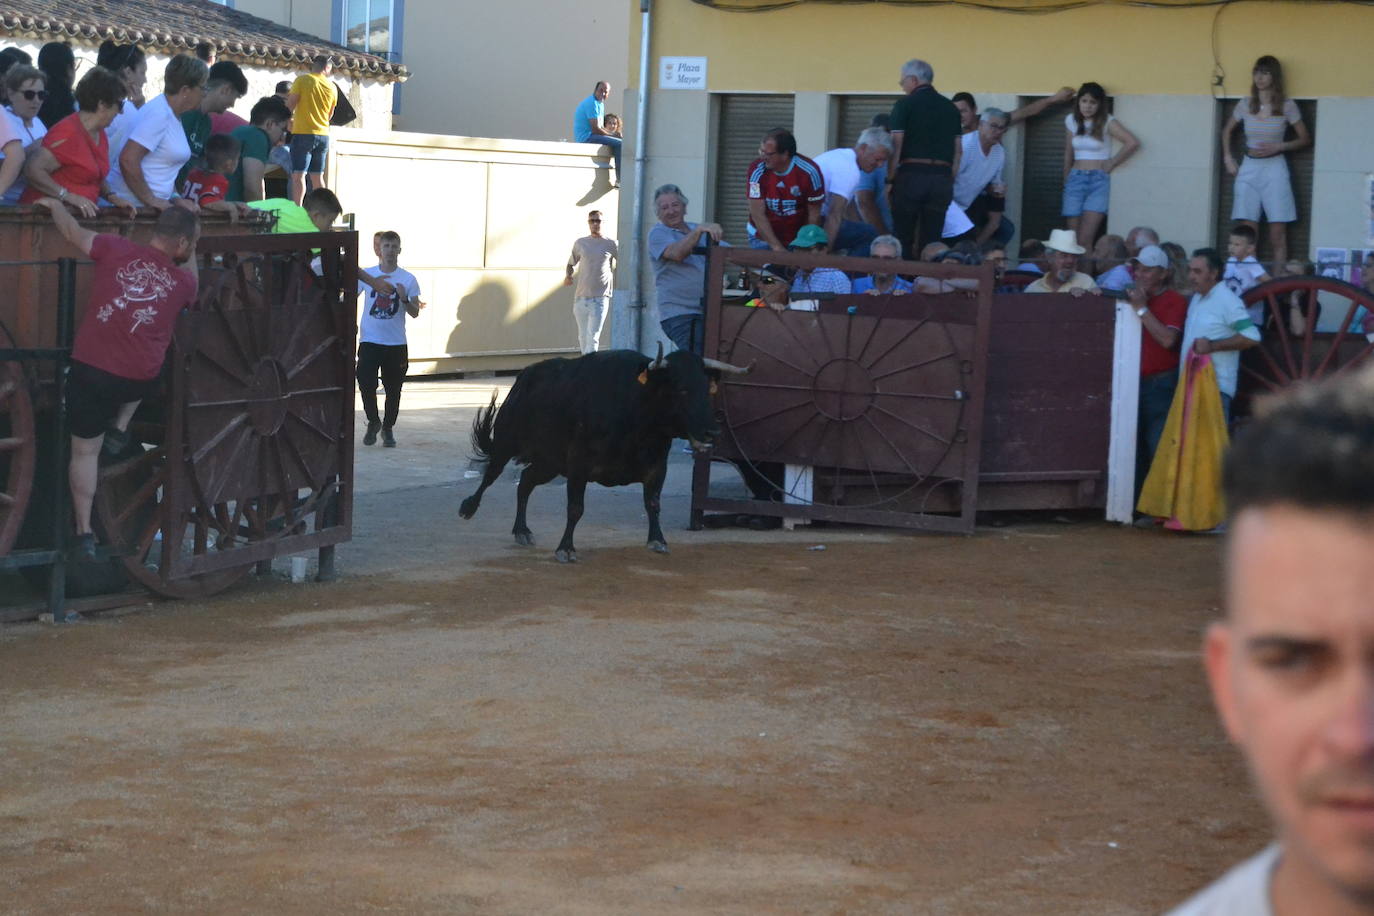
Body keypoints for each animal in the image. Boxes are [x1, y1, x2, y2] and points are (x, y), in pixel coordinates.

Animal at [458, 346, 752, 563]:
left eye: (707, 389)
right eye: (681, 389)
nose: (712, 432)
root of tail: (524, 378)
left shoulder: (657, 466)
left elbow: (653, 503)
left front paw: (658, 540)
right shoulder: (578, 465)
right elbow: (575, 508)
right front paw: (566, 548)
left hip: (549, 463)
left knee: (526, 482)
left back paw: (522, 530)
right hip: (506, 443)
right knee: (491, 475)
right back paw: (468, 508)